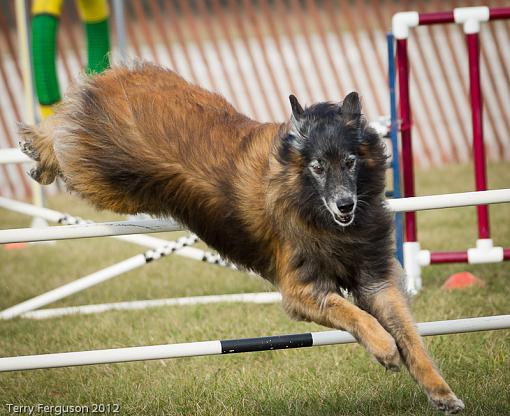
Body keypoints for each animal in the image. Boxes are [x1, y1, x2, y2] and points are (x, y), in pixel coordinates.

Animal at [19, 61, 464, 412]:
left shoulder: (375, 278)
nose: (345, 206)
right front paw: (385, 348)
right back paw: (37, 151)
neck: (309, 204)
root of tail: (116, 78)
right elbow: (355, 315)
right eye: (318, 166)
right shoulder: (302, 290)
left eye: (351, 162)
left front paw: (441, 392)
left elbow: (411, 337)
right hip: (101, 176)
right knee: (61, 136)